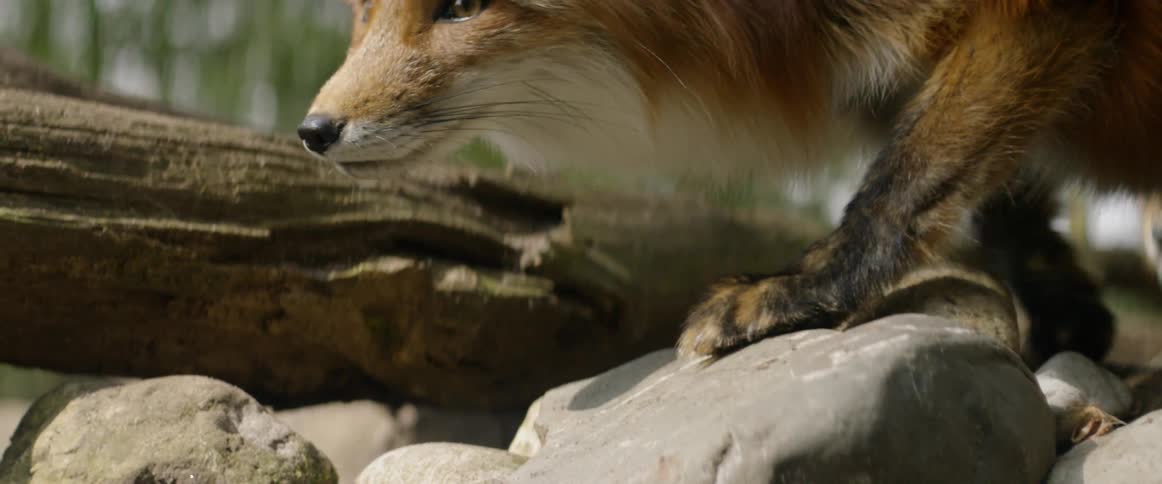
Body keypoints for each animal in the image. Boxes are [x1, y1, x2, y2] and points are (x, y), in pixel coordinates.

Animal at [299, 0, 1162, 362]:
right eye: (367, 8)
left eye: (462, 3)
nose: (313, 130)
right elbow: (999, 206)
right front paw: (1072, 320)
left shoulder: (1034, 15)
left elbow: (902, 185)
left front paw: (798, 293)